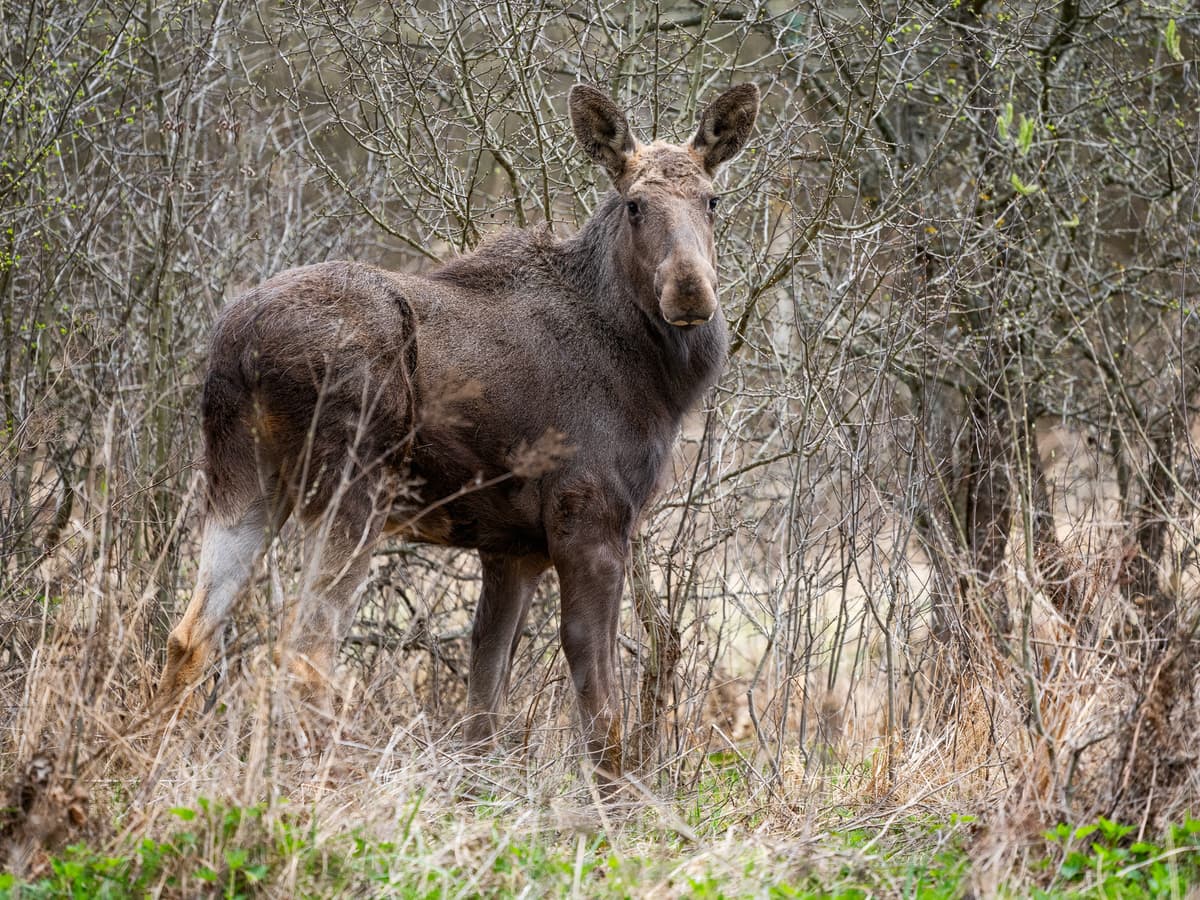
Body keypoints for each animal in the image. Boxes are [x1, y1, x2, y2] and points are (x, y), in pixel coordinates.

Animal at [155, 83, 760, 782]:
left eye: (712, 200)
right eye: (635, 205)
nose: (690, 290)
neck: (657, 382)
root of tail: (237, 345)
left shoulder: (514, 549)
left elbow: (482, 706)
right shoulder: (590, 519)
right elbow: (602, 714)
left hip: (242, 482)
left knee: (189, 635)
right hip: (353, 486)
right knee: (305, 654)